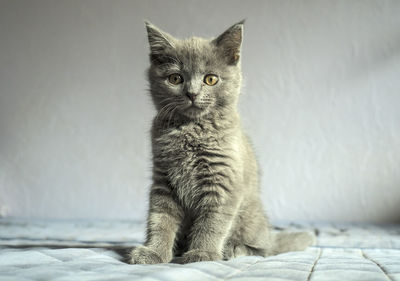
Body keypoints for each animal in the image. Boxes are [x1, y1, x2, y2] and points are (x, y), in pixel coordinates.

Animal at [130, 21, 314, 262]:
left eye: (210, 79)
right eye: (175, 78)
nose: (192, 93)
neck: (192, 128)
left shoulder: (223, 180)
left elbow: (212, 222)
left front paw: (203, 252)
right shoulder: (163, 180)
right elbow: (160, 219)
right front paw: (153, 252)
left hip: (251, 219)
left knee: (264, 249)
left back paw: (233, 249)